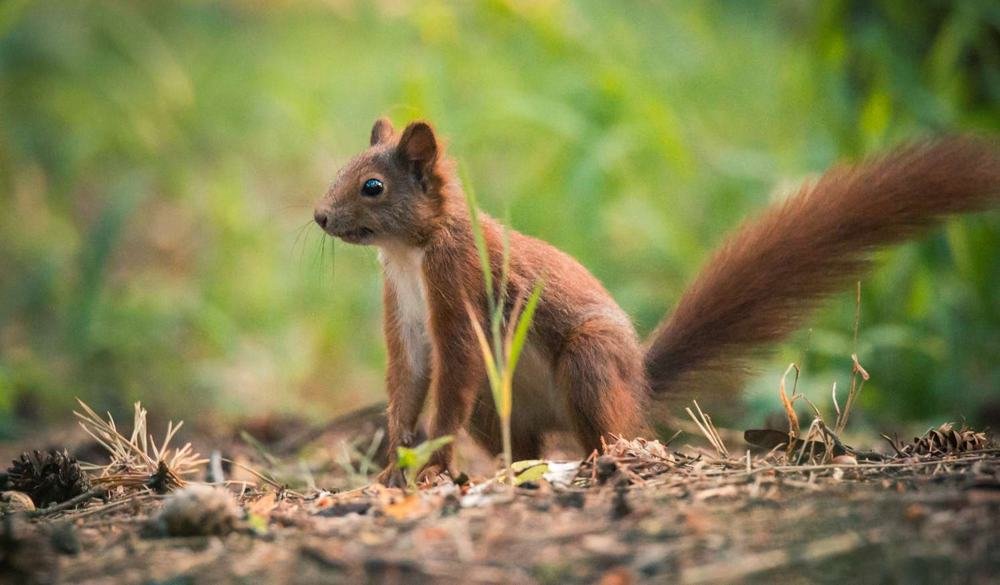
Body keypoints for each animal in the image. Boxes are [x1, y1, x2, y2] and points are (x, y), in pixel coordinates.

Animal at [313, 118, 1000, 486]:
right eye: (341, 170)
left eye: (372, 187)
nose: (319, 216)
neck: (409, 253)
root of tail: (638, 385)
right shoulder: (404, 315)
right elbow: (408, 381)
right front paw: (391, 469)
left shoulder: (458, 290)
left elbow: (449, 378)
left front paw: (428, 464)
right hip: (500, 401)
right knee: (525, 441)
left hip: (589, 361)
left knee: (609, 431)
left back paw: (602, 460)